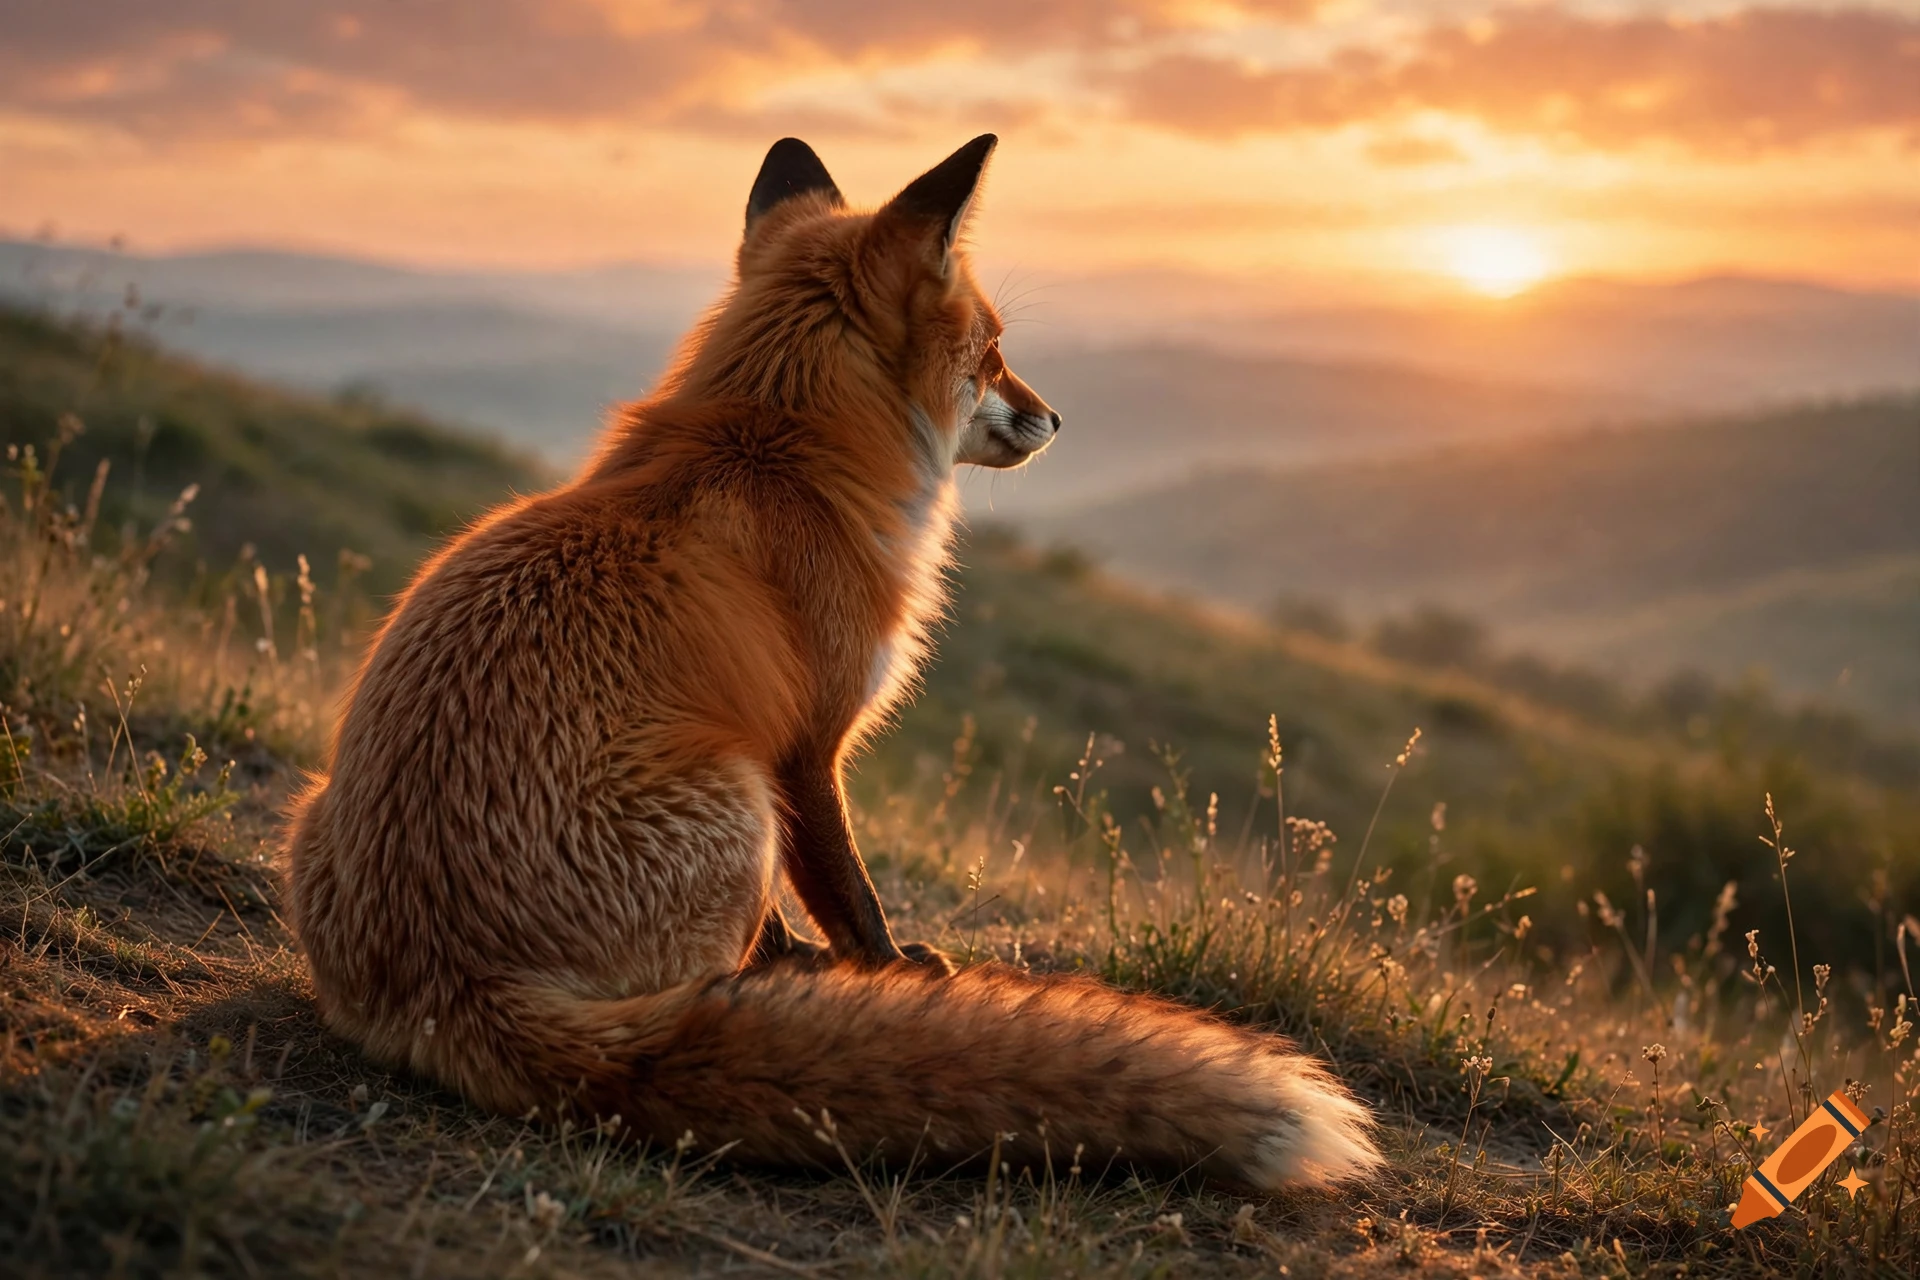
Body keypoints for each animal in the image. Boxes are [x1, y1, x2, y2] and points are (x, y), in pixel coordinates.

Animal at [286, 134, 1382, 1191]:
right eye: (994, 352)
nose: (1059, 418)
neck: (779, 450)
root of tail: (451, 981)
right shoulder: (807, 746)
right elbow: (852, 894)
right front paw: (884, 975)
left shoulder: (790, 760)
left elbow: (803, 910)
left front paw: (827, 973)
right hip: (736, 803)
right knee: (698, 989)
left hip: (320, 810)